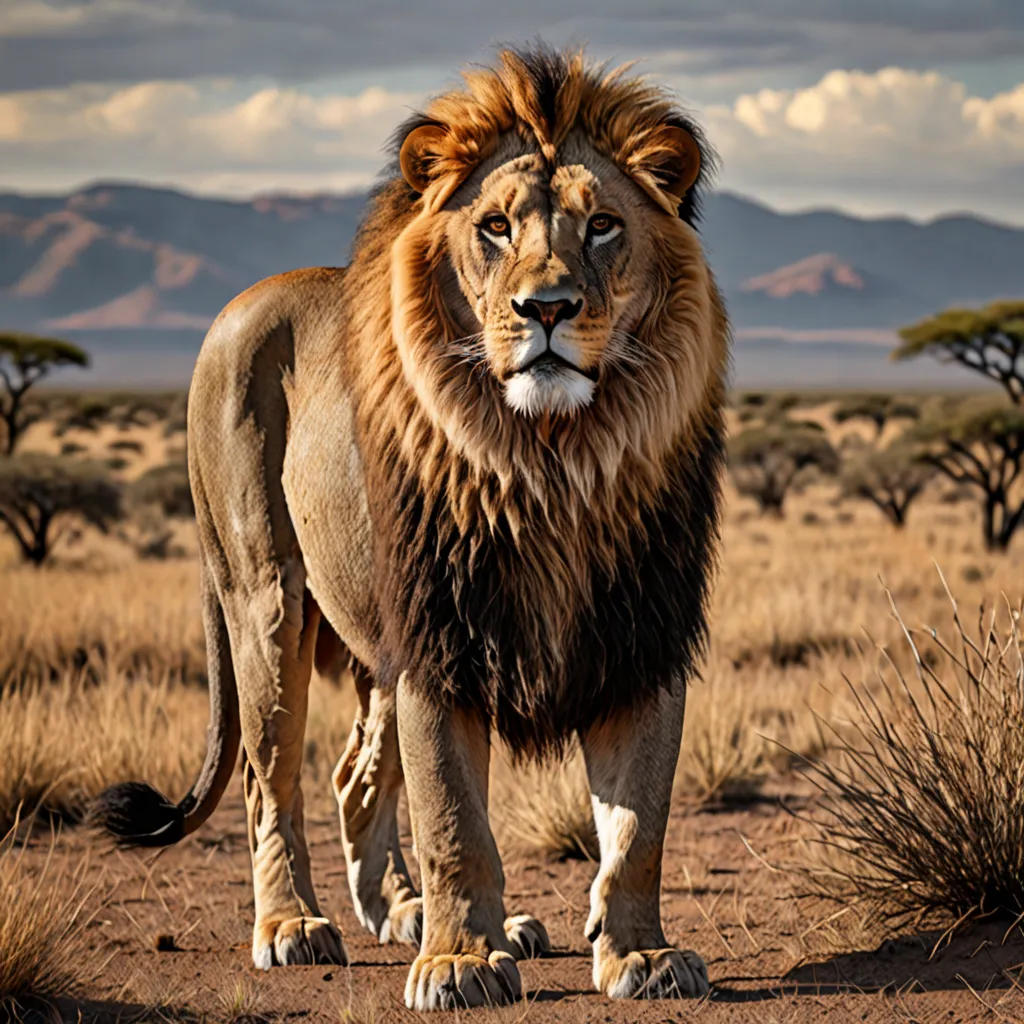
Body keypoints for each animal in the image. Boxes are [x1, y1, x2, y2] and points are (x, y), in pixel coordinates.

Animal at [93, 45, 728, 1010]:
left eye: (604, 226)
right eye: (496, 227)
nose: (548, 308)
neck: (554, 457)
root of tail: (241, 307)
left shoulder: (641, 636)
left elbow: (639, 827)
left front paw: (641, 955)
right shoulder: (440, 638)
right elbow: (454, 819)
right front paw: (459, 964)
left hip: (375, 637)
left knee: (354, 779)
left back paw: (402, 912)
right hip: (266, 599)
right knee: (271, 779)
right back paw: (294, 926)